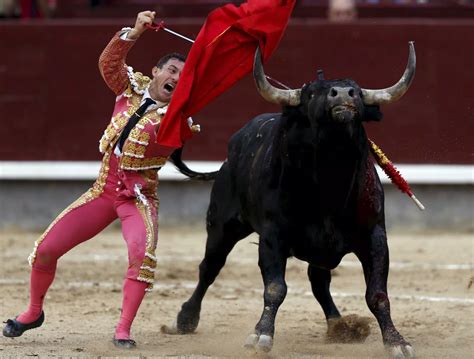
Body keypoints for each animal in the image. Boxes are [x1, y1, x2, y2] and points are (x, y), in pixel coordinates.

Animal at [165, 43, 416, 358]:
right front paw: (260, 335)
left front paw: (396, 341)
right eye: (311, 93)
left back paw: (339, 325)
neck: (331, 178)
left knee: (319, 282)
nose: (342, 94)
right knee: (209, 267)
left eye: (357, 90)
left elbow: (378, 294)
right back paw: (186, 319)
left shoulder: (374, 236)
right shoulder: (273, 237)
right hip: (222, 226)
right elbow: (275, 288)